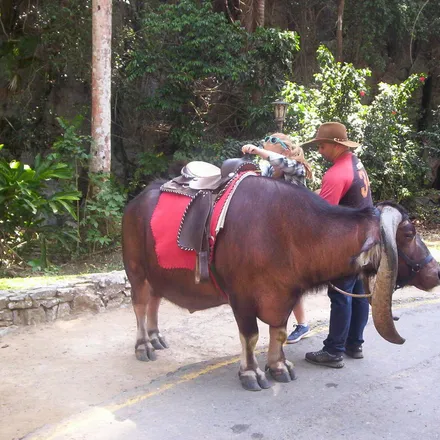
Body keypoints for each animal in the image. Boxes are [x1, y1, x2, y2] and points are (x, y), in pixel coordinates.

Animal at [121, 176, 440, 392]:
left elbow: (280, 332)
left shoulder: (284, 294)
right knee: (140, 305)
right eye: (408, 234)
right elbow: (250, 336)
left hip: (158, 274)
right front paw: (251, 374)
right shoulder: (241, 298)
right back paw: (143, 345)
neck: (289, 233)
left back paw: (156, 337)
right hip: (136, 271)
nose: (436, 271)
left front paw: (278, 366)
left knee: (154, 301)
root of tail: (134, 204)